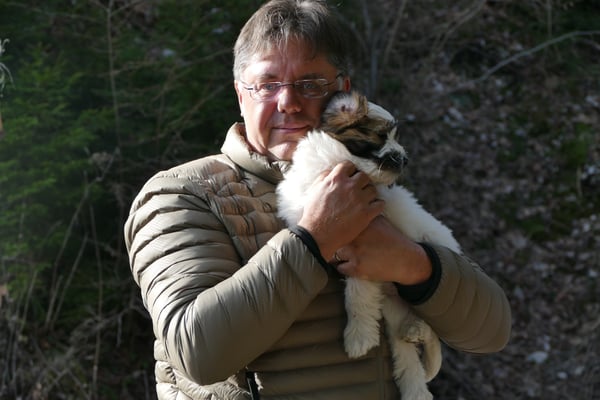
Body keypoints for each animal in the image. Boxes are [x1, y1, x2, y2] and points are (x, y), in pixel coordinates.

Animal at [276, 91, 461, 400]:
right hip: (394, 313)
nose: (405, 159)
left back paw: (418, 328)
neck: (337, 166)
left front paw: (358, 336)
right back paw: (415, 381)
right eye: (381, 135)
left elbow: (356, 294)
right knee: (407, 360)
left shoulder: (365, 255)